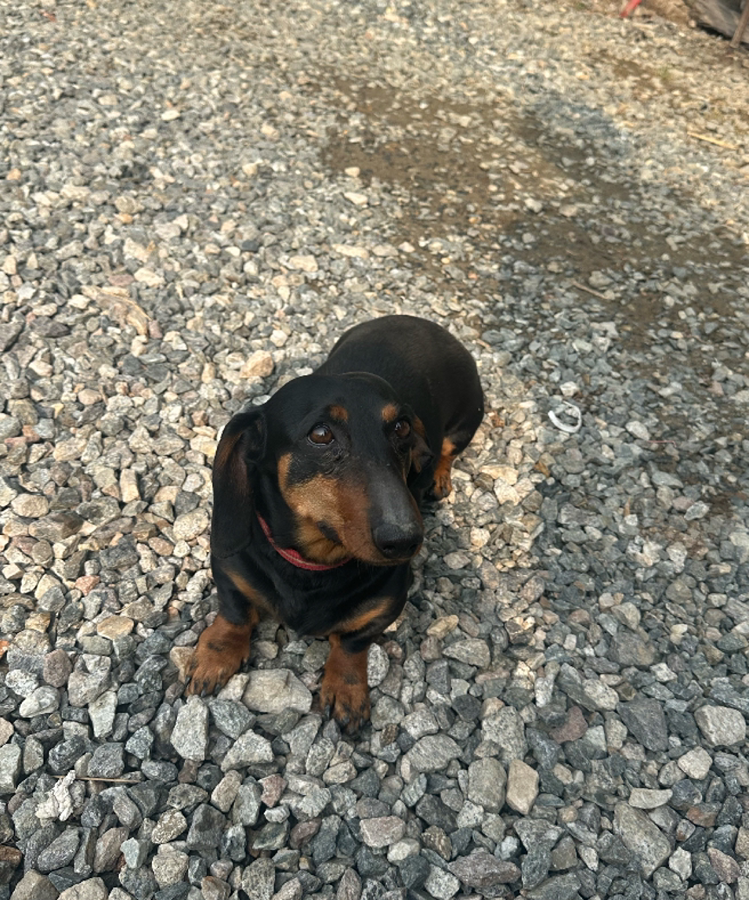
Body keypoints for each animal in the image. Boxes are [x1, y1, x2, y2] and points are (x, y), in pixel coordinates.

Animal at [184, 312, 482, 728]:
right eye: (321, 433)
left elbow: (352, 642)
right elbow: (235, 612)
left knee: (449, 449)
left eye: (402, 427)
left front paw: (346, 688)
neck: (313, 567)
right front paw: (215, 654)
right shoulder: (230, 569)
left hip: (469, 418)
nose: (404, 540)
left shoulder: (386, 604)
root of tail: (424, 322)